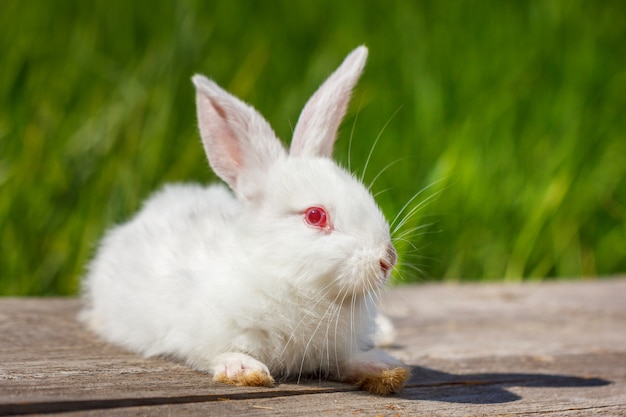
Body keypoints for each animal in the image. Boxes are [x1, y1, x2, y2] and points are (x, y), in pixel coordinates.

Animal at [79, 45, 410, 394]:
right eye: (315, 215)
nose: (387, 259)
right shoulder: (201, 332)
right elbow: (219, 351)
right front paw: (245, 371)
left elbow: (348, 360)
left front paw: (384, 368)